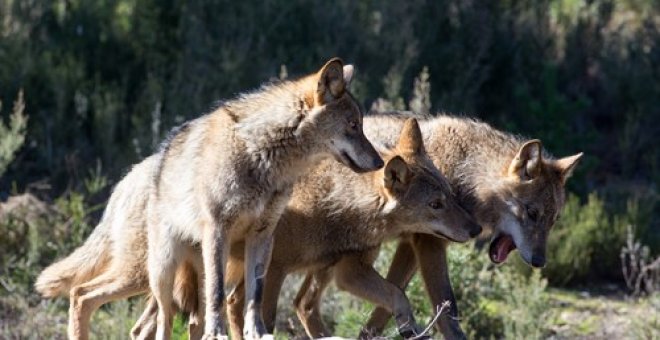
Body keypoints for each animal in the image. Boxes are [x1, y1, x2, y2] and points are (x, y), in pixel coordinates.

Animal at [129, 117, 480, 340]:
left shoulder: (347, 271)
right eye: (435, 204)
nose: (475, 229)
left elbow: (396, 294)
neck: (334, 204)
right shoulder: (276, 270)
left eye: (450, 195)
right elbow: (267, 321)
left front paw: (409, 327)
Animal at [350, 112, 576, 340]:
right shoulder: (430, 244)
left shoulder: (411, 246)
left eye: (554, 220)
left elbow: (387, 302)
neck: (464, 175)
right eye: (532, 213)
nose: (539, 262)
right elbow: (447, 309)